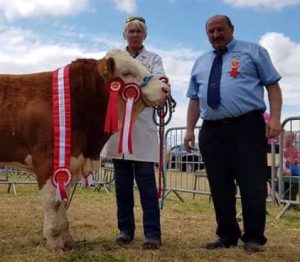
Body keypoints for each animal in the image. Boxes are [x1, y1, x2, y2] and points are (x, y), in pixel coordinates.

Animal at [0, 48, 169, 252]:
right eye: (127, 72)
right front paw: (54, 241)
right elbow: (53, 202)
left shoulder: (68, 162)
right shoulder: (47, 161)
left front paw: (67, 239)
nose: (165, 89)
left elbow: (63, 202)